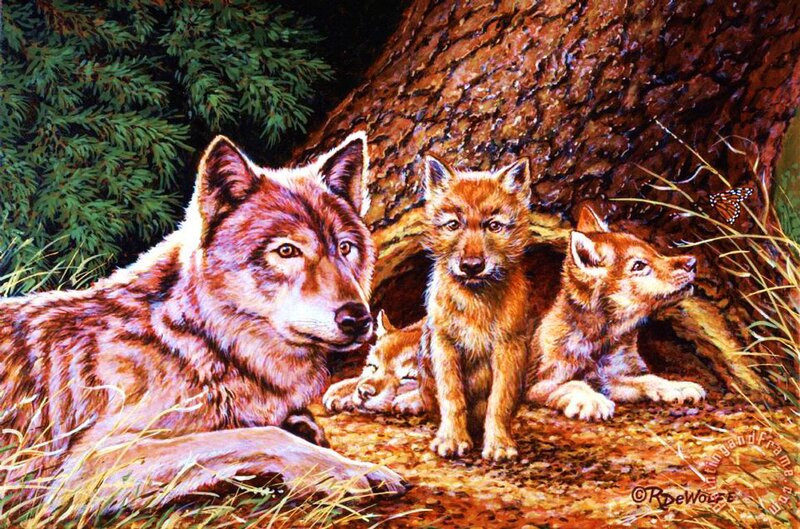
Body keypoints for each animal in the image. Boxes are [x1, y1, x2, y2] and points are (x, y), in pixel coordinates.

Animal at [0, 133, 405, 513]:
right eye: (287, 251)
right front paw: (345, 471)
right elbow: (260, 436)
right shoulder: (88, 465)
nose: (358, 318)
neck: (196, 343)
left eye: (345, 248)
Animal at [420, 155, 533, 462]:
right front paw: (452, 439)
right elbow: (452, 397)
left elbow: (499, 402)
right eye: (453, 225)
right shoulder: (444, 344)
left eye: (493, 226)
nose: (472, 266)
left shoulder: (508, 347)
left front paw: (499, 444)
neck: (476, 302)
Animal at [525, 205, 707, 421]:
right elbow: (573, 384)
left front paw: (678, 387)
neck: (602, 341)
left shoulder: (611, 377)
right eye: (639, 265)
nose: (693, 262)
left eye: (656, 254)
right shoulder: (539, 385)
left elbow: (649, 379)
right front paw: (593, 401)